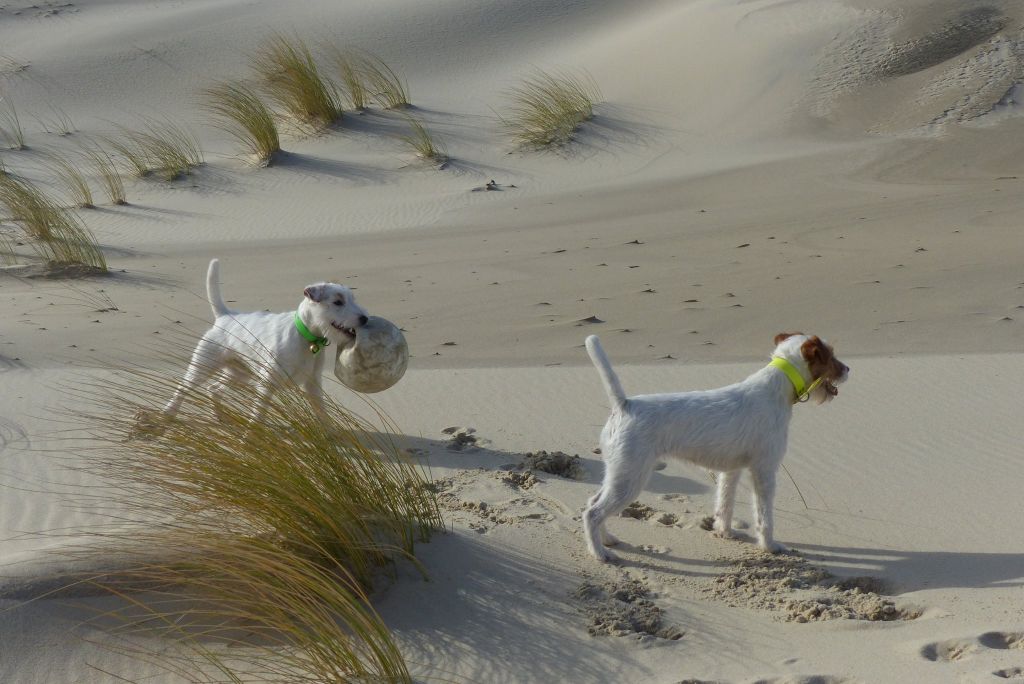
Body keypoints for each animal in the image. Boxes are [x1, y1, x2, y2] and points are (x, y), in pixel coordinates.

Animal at [159, 259, 368, 421]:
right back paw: (167, 414)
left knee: (214, 388)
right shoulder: (267, 385)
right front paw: (248, 439)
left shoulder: (313, 385)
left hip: (239, 374)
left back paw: (219, 416)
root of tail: (225, 315)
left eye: (352, 299)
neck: (305, 337)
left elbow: (322, 414)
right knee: (183, 389)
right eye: (338, 302)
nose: (364, 319)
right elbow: (258, 416)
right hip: (203, 366)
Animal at [585, 331, 847, 561]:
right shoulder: (764, 471)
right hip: (630, 479)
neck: (777, 387)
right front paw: (769, 546)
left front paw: (725, 532)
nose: (848, 369)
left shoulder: (731, 471)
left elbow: (725, 505)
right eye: (831, 355)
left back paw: (607, 540)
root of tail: (624, 405)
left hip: (618, 472)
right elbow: (764, 516)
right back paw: (600, 553)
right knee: (592, 513)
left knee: (593, 503)